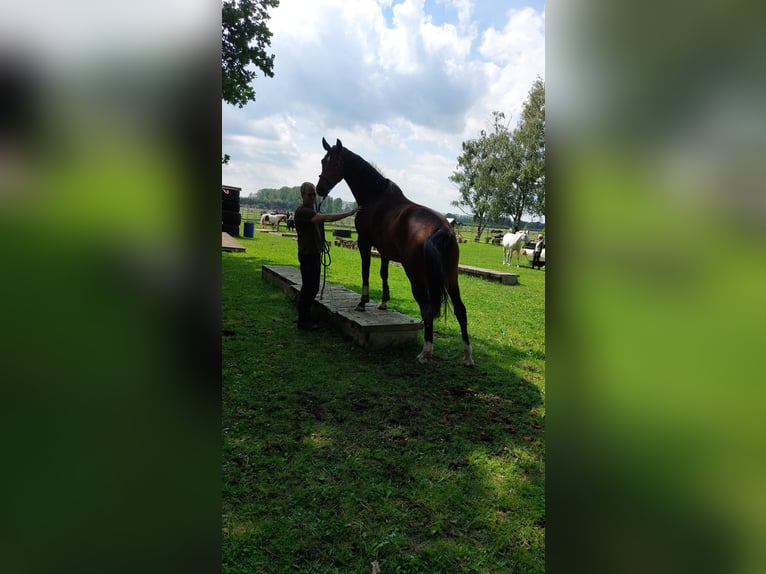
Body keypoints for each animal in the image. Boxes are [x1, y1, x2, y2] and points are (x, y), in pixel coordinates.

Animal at [316, 137, 474, 366]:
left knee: (427, 309)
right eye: (322, 161)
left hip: (416, 274)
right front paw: (383, 302)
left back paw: (426, 351)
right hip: (451, 275)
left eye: (333, 162)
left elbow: (366, 271)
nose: (319, 188)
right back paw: (467, 356)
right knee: (460, 310)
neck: (375, 197)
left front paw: (363, 303)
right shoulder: (384, 250)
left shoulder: (365, 243)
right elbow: (384, 273)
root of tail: (442, 228)